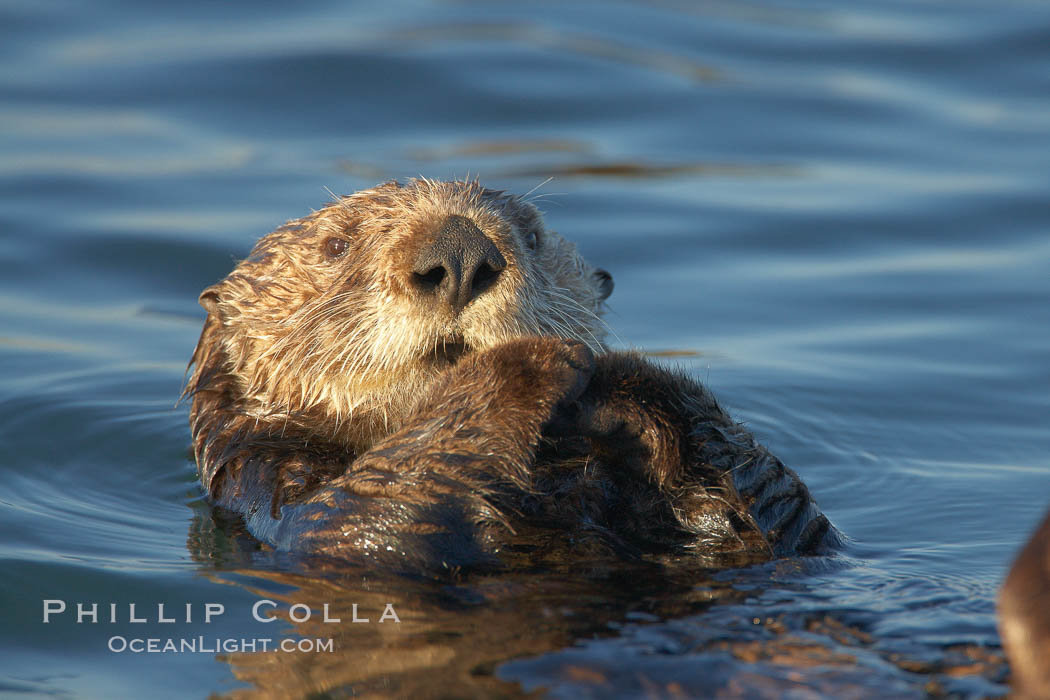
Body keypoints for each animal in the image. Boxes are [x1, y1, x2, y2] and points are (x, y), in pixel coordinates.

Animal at [182, 179, 835, 575]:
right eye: (336, 245)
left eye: (535, 237)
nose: (460, 251)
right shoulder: (275, 491)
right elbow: (356, 517)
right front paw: (531, 362)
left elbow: (790, 516)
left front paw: (616, 383)